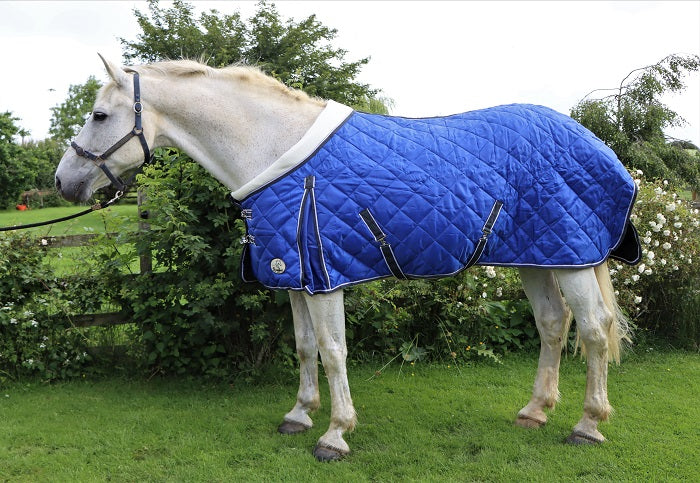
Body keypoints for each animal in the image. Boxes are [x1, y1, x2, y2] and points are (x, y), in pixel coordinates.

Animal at [56, 55, 640, 461]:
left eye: (99, 115)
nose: (63, 182)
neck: (274, 148)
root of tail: (592, 141)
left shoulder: (323, 276)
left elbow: (334, 351)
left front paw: (335, 435)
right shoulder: (291, 275)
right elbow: (304, 347)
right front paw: (300, 415)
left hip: (573, 259)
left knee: (592, 330)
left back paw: (588, 425)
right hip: (537, 258)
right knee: (552, 325)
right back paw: (535, 412)